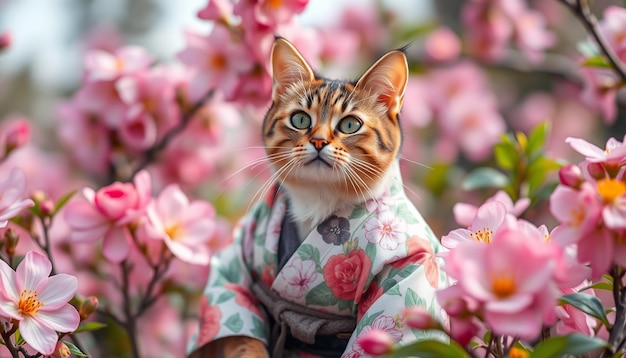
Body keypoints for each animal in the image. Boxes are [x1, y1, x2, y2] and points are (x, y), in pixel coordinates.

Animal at [188, 37, 446, 358]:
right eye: (300, 119)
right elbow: (237, 316)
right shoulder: (239, 257)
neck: (319, 204)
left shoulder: (410, 267)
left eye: (350, 125)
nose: (319, 141)